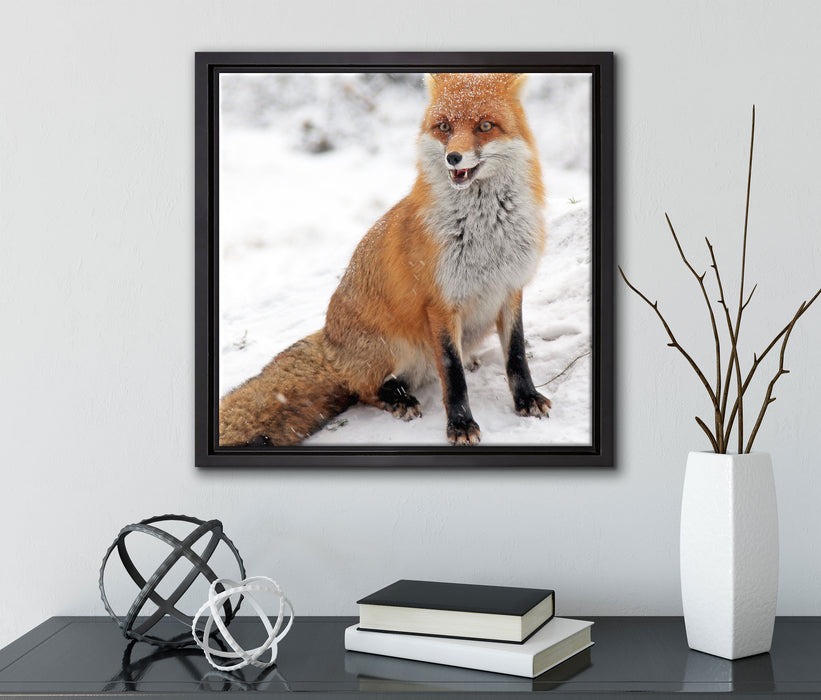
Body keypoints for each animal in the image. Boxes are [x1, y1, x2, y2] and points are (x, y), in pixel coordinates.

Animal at [219, 72, 551, 447]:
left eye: (484, 126)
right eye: (444, 126)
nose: (453, 157)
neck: (485, 234)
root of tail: (329, 342)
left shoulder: (510, 288)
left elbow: (516, 356)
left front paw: (527, 399)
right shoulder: (440, 304)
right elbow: (452, 375)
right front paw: (460, 424)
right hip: (394, 347)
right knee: (364, 389)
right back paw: (397, 399)